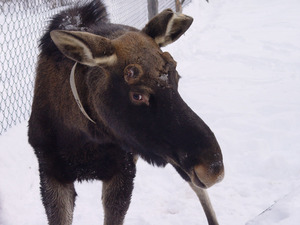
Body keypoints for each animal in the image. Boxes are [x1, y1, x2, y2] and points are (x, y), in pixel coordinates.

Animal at [28, 0, 224, 224]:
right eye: (137, 95)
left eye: (177, 77)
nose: (213, 167)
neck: (83, 140)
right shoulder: (52, 173)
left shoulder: (123, 171)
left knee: (198, 190)